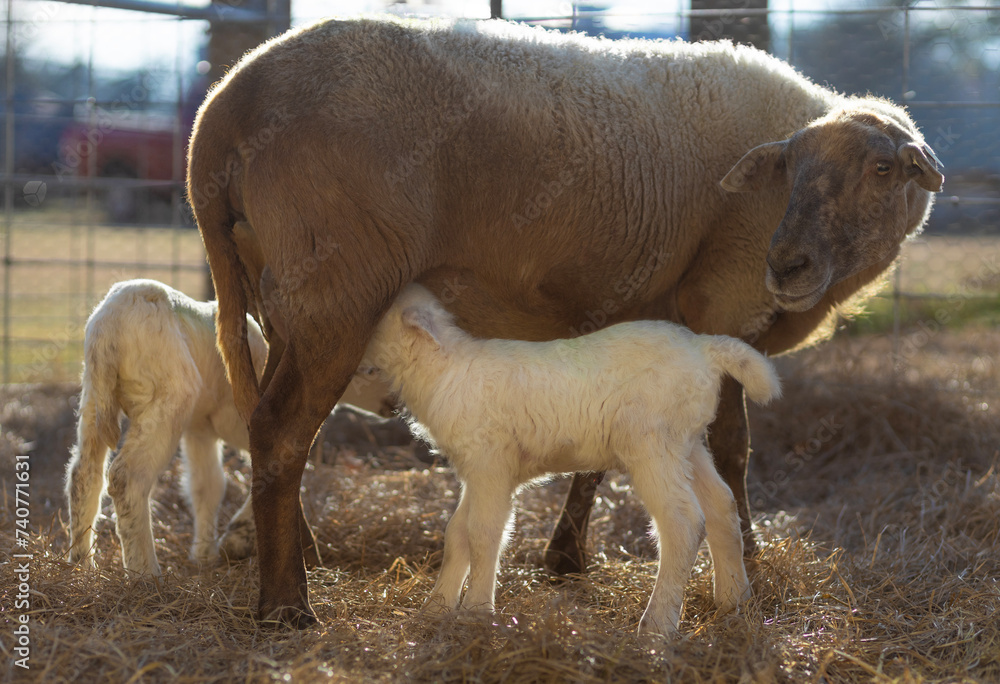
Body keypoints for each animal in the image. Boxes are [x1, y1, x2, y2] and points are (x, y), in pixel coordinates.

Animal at [360, 284, 780, 636]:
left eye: (379, 316)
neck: (442, 370)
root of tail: (705, 347)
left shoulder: (491, 463)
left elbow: (483, 534)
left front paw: (477, 613)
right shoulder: (475, 471)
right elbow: (457, 534)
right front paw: (435, 610)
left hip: (651, 442)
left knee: (683, 522)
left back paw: (657, 627)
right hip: (687, 442)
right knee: (722, 505)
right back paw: (734, 602)